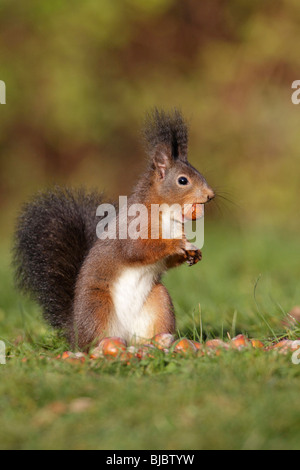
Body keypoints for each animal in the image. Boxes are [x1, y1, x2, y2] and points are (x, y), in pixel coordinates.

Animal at [14, 109, 214, 348]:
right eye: (183, 181)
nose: (210, 195)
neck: (167, 213)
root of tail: (75, 331)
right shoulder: (133, 229)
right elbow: (138, 250)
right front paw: (176, 245)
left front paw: (193, 253)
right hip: (97, 306)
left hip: (159, 302)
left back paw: (159, 343)